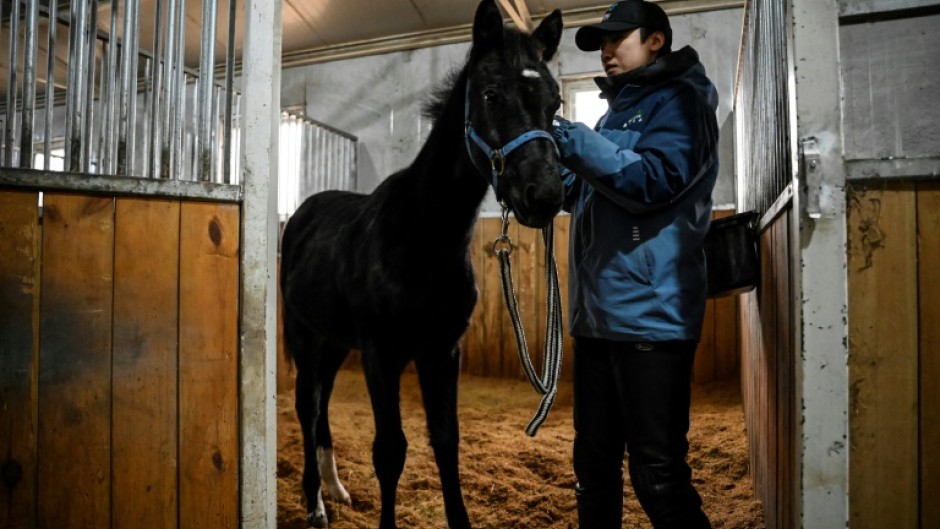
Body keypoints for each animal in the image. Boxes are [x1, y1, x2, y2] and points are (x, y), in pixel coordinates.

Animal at [279, 1, 564, 527]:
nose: (545, 196)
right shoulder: (381, 354)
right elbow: (390, 451)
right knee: (307, 403)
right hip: (305, 336)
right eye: (491, 94)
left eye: (554, 103)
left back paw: (335, 488)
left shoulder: (442, 351)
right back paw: (315, 503)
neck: (420, 236)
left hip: (335, 341)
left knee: (323, 400)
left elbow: (446, 442)